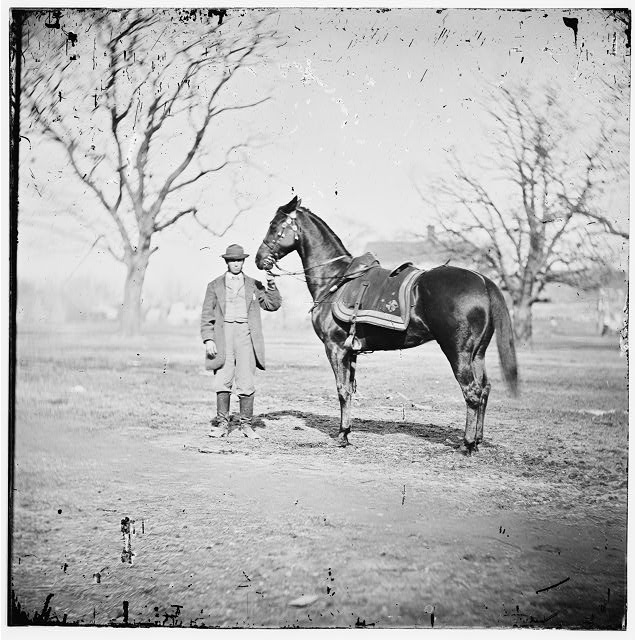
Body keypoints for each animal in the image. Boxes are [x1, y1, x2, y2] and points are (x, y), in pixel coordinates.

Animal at [255, 198, 516, 452]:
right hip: (477, 354)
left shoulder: (335, 348)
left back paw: (467, 444)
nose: (259, 259)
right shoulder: (351, 352)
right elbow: (350, 389)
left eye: (274, 226)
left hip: (458, 352)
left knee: (472, 392)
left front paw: (342, 436)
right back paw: (478, 440)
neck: (336, 279)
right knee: (484, 389)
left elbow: (342, 390)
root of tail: (483, 281)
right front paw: (347, 432)